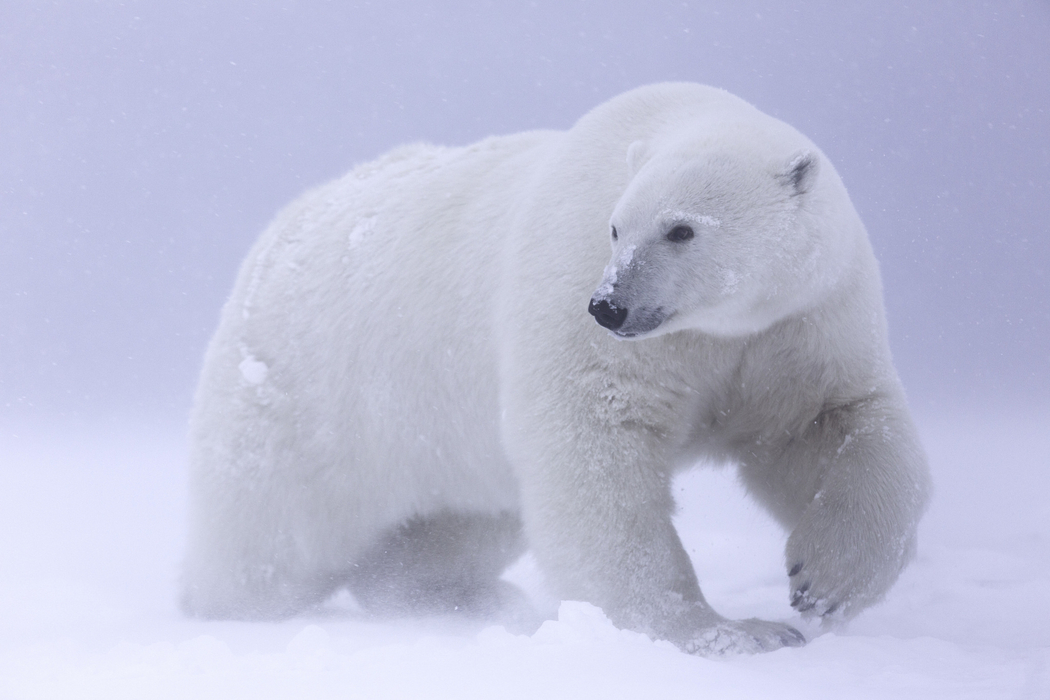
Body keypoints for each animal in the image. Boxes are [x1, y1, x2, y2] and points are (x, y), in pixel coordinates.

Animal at [180, 83, 928, 659]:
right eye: (616, 228)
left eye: (682, 228)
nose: (609, 305)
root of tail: (277, 235)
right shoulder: (581, 305)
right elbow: (596, 458)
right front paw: (732, 633)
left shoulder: (796, 327)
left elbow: (830, 427)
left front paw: (824, 583)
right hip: (310, 398)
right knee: (272, 537)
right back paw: (221, 604)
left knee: (455, 526)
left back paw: (465, 595)